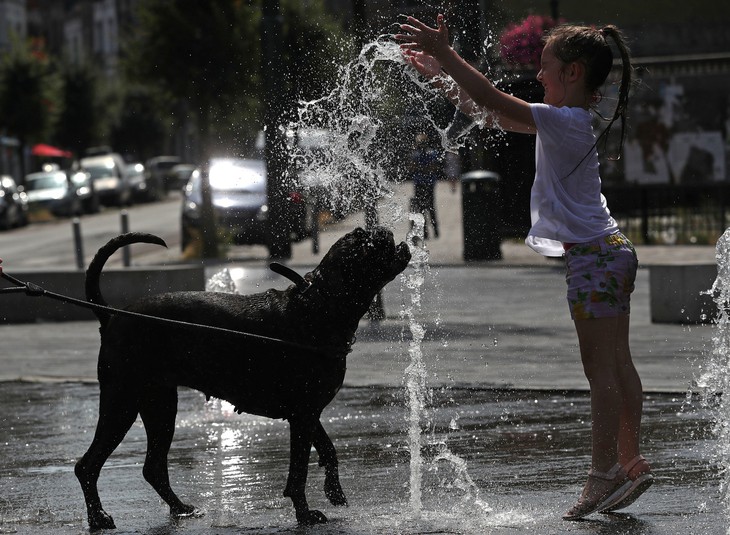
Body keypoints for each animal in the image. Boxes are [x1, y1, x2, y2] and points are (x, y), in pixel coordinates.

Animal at [77, 227, 412, 532]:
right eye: (364, 243)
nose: (380, 230)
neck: (318, 307)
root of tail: (111, 316)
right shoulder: (303, 416)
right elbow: (298, 472)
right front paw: (305, 514)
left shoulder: (307, 413)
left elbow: (328, 450)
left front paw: (334, 491)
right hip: (121, 404)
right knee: (87, 465)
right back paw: (98, 518)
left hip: (160, 407)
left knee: (153, 468)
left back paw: (181, 508)